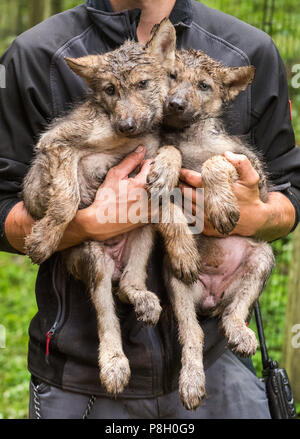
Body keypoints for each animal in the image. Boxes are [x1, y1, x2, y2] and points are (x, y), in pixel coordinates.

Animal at [22, 20, 197, 398]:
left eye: (143, 84)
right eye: (110, 90)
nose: (127, 125)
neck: (129, 137)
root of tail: (114, 265)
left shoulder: (150, 153)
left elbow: (172, 165)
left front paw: (184, 249)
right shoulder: (56, 144)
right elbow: (66, 197)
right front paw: (43, 239)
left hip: (142, 235)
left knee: (126, 286)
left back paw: (143, 298)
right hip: (94, 260)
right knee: (106, 316)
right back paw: (114, 364)